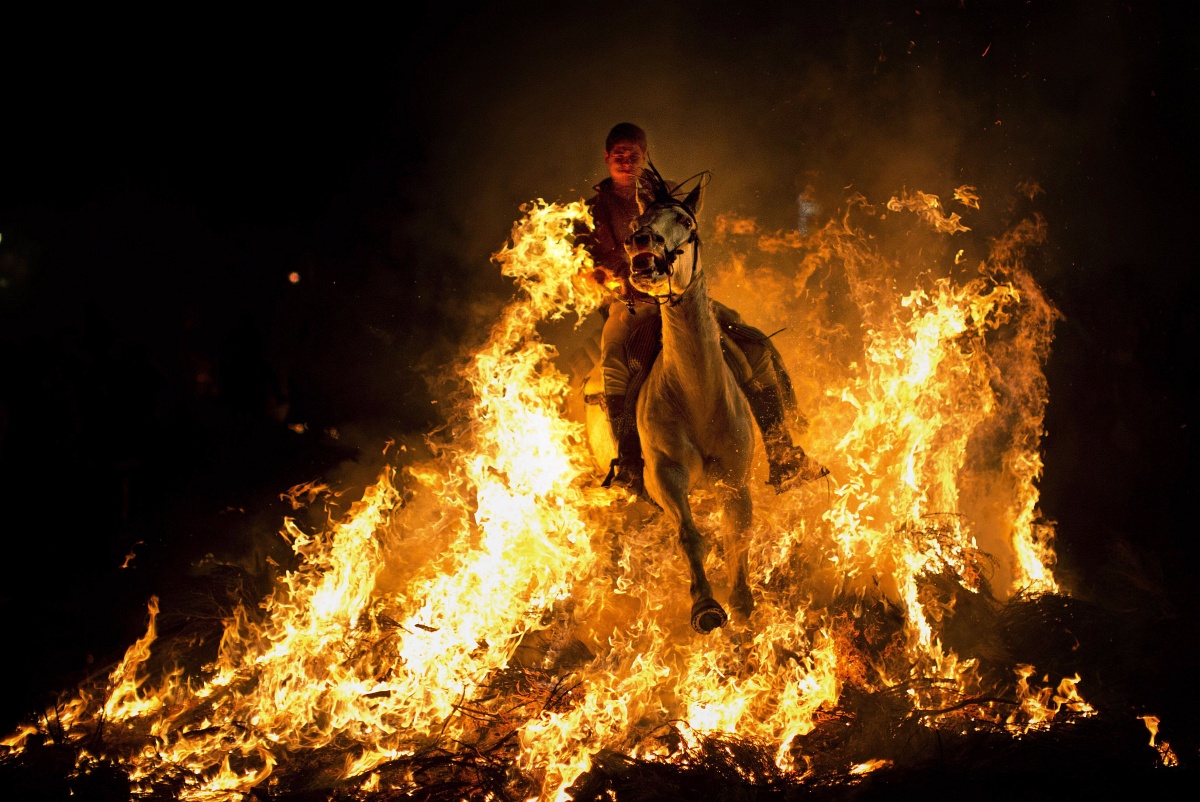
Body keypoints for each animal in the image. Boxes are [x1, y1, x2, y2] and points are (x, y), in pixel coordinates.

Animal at [624, 174, 753, 633]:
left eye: (685, 221)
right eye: (638, 219)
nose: (640, 242)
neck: (697, 399)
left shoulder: (735, 481)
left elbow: (739, 536)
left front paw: (742, 604)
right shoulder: (666, 476)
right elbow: (690, 536)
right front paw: (706, 605)